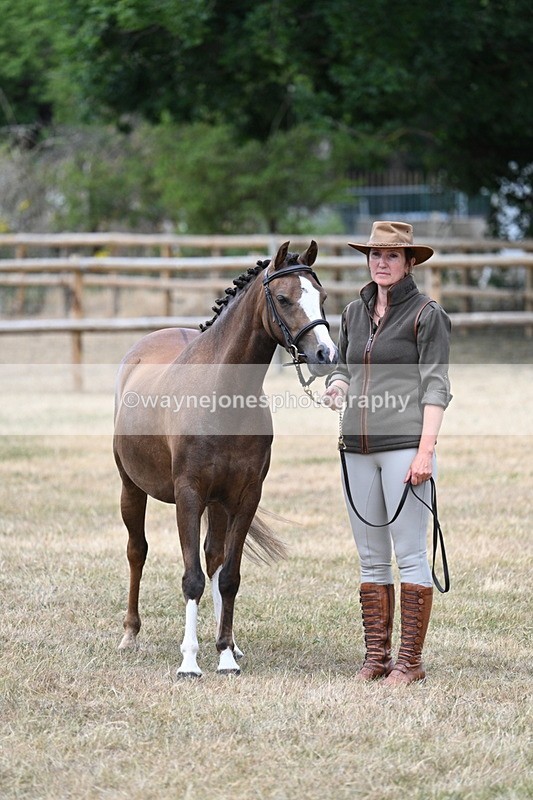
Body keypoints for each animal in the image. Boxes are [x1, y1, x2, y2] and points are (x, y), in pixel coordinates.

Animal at [113, 240, 338, 676]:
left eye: (321, 297)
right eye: (283, 298)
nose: (325, 353)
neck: (222, 393)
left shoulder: (245, 495)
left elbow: (228, 576)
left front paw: (225, 654)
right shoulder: (188, 495)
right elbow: (192, 579)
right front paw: (189, 662)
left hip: (218, 504)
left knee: (214, 560)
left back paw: (230, 644)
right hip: (132, 488)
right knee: (137, 551)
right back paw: (130, 634)